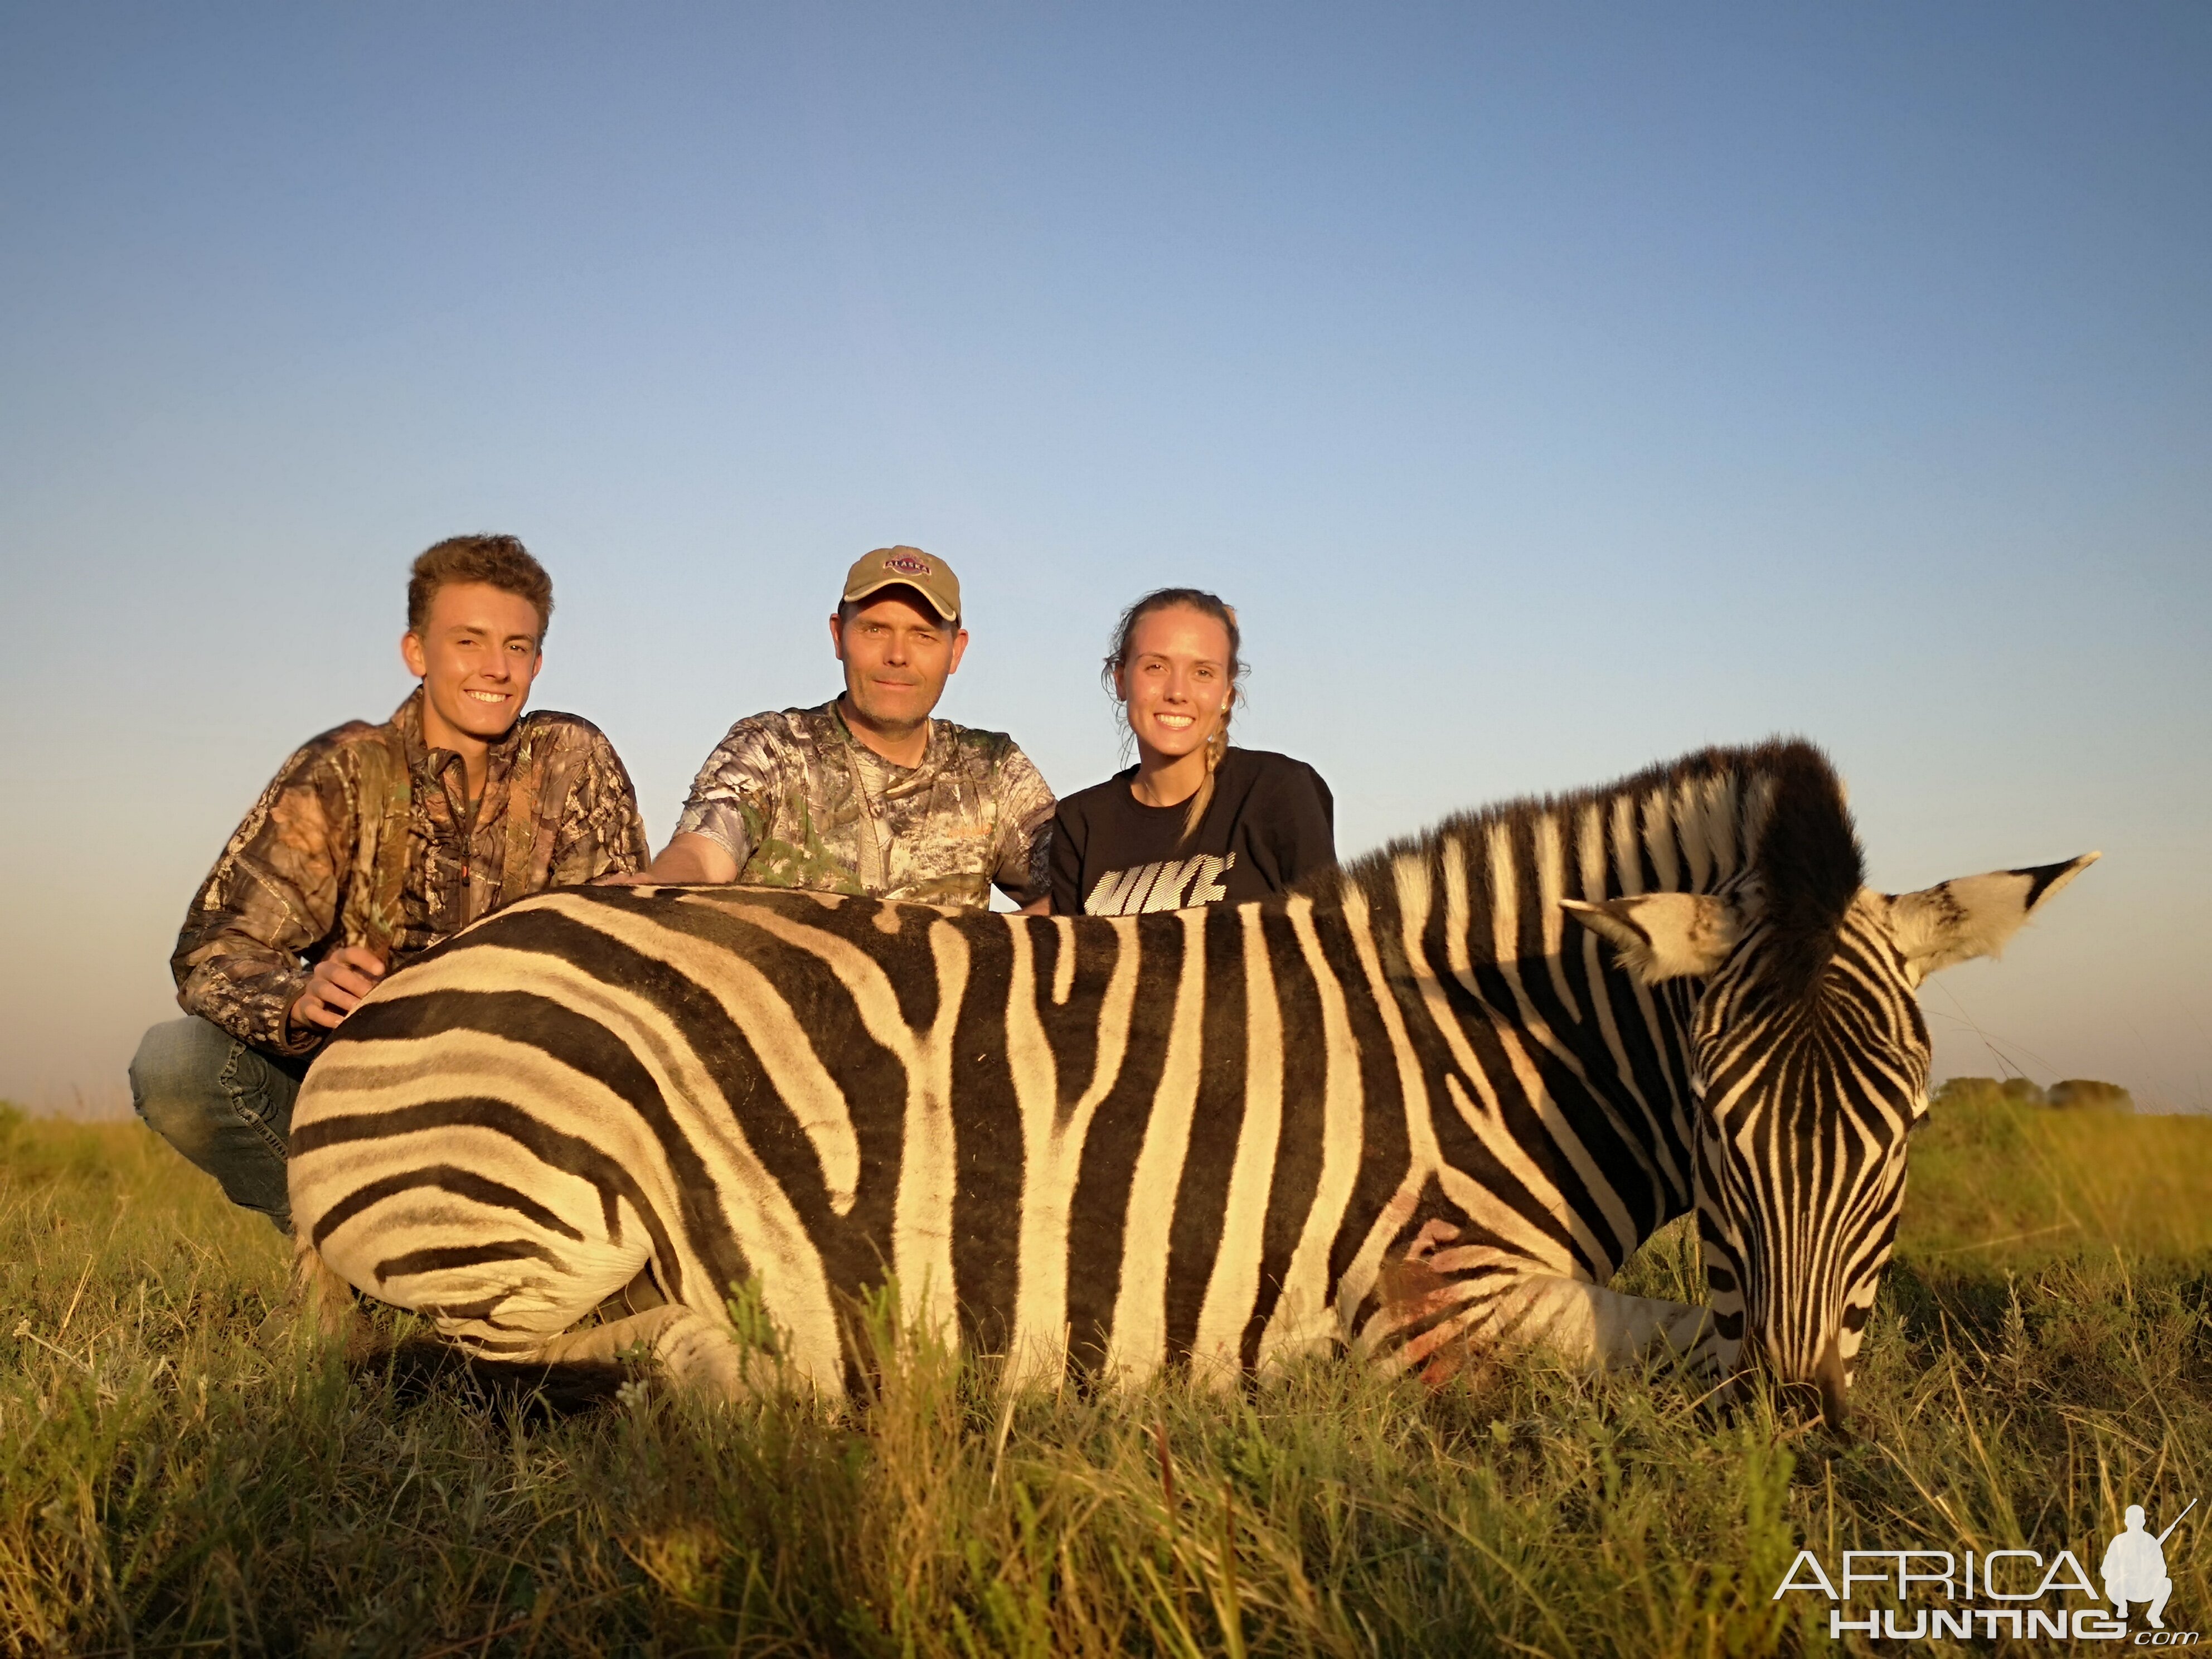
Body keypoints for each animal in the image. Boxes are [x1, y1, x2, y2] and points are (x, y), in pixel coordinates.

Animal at [289, 743, 2088, 1433]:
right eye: (1715, 1133)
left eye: (1905, 1135)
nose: (1799, 1433)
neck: (1486, 1047)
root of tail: (405, 984)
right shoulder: (1437, 1291)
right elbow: (1658, 1346)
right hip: (525, 1213)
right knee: (615, 1357)